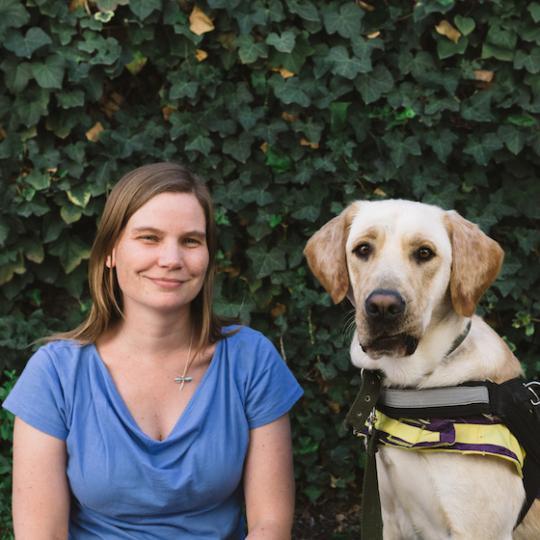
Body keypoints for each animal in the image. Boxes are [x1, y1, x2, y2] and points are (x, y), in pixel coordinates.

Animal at [306, 199, 536, 540]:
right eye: (363, 249)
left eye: (425, 253)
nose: (383, 306)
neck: (418, 384)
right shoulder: (387, 514)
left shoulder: (480, 530)